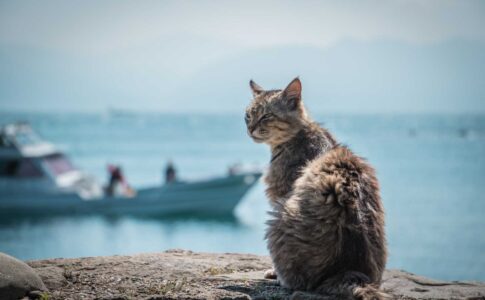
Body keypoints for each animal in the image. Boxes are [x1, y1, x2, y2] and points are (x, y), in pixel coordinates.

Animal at [244, 78, 388, 298]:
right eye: (248, 115)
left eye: (266, 116)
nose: (250, 128)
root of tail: (348, 272)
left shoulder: (281, 194)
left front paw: (273, 272)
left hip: (278, 218)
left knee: (298, 282)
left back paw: (282, 278)